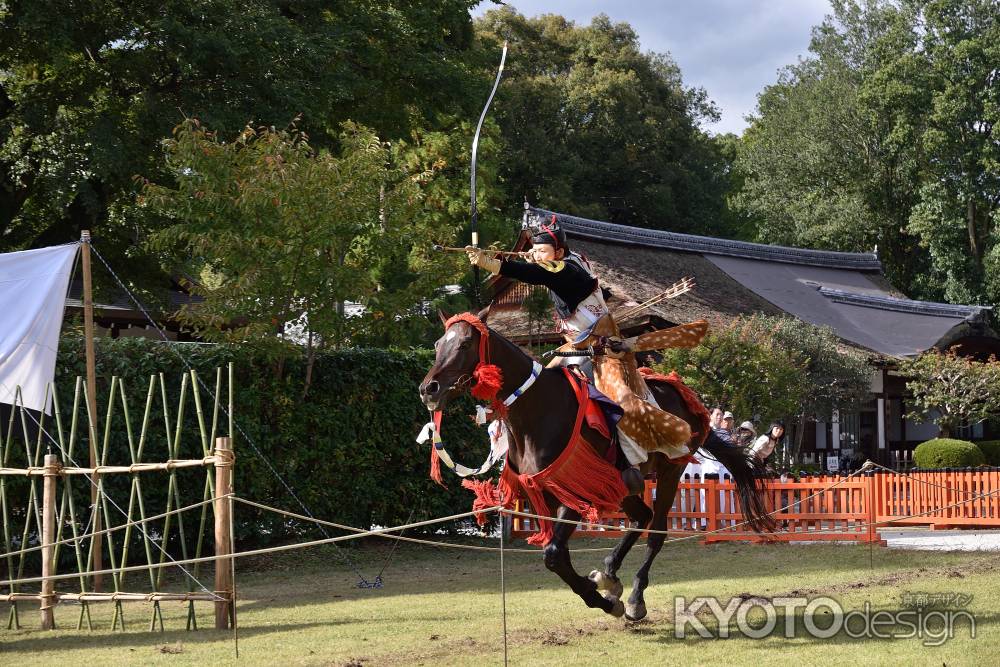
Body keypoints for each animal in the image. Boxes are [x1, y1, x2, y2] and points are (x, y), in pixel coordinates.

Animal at [416, 310, 772, 624]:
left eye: (464, 344)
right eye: (438, 344)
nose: (428, 389)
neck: (537, 411)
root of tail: (688, 398)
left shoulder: (576, 491)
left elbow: (553, 554)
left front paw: (601, 597)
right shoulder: (544, 494)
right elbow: (557, 554)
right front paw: (601, 588)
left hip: (672, 469)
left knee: (656, 531)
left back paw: (635, 598)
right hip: (621, 483)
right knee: (641, 516)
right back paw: (610, 573)